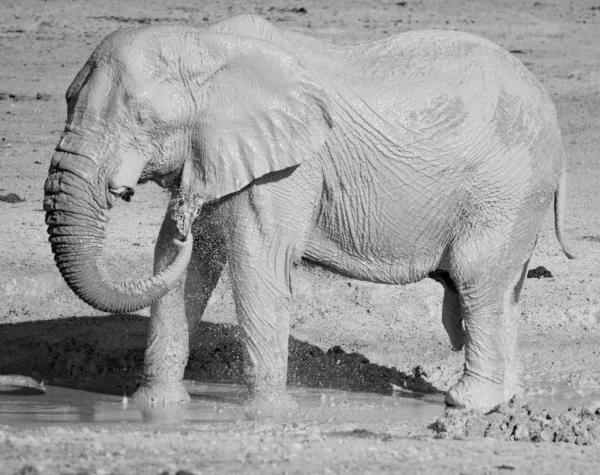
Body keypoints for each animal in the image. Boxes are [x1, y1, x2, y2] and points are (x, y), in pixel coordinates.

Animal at [44, 13, 576, 412]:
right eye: (68, 100)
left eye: (141, 118)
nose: (181, 223)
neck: (209, 45)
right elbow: (186, 272)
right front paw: (156, 408)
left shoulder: (290, 168)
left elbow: (258, 264)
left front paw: (268, 415)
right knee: (503, 289)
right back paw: (507, 401)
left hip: (507, 188)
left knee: (475, 277)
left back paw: (468, 402)